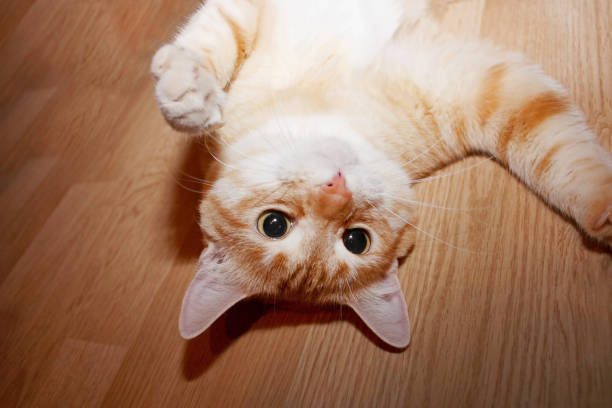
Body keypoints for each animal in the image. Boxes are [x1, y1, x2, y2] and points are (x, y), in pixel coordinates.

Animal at [149, 0, 612, 350]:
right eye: (357, 239)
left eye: (272, 224)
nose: (335, 189)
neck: (335, 110)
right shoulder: (478, 83)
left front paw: (185, 92)